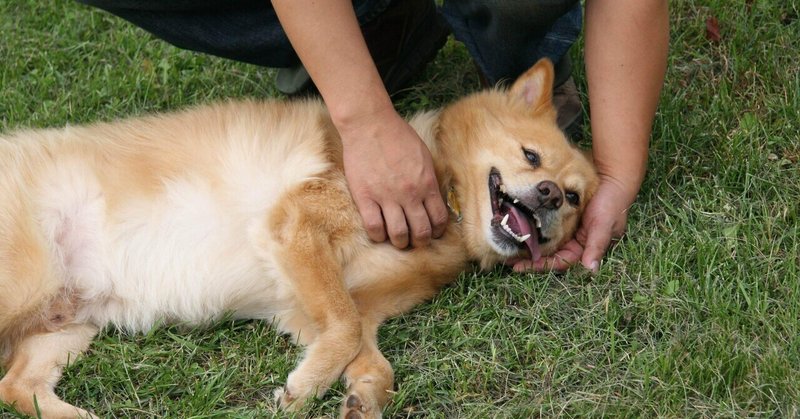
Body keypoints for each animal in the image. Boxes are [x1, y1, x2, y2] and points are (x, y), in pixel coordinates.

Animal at [0, 60, 596, 419]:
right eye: (531, 156)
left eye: (574, 200)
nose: (547, 195)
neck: (446, 196)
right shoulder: (297, 227)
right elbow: (346, 330)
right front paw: (304, 390)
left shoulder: (314, 309)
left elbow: (367, 354)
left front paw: (360, 399)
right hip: (26, 287)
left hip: (66, 322)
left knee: (17, 386)